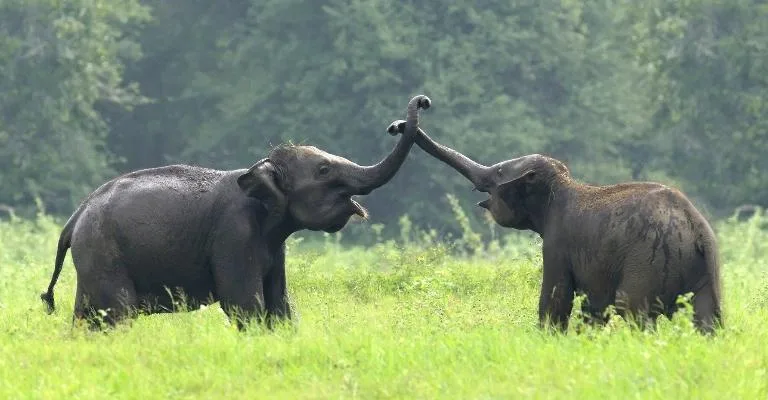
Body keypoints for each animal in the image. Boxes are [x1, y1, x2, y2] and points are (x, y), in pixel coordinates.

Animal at [39, 94, 431, 330]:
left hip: (93, 258)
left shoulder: (273, 244)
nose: (420, 104)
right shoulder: (233, 234)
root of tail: (74, 219)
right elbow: (245, 304)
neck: (257, 169)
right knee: (116, 313)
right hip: (104, 252)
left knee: (87, 316)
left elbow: (280, 304)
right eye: (323, 170)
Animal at [387, 120, 722, 334]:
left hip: (648, 262)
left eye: (498, 172)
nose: (397, 125)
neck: (563, 184)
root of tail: (696, 228)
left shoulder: (557, 243)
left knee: (632, 311)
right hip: (705, 270)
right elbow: (592, 307)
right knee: (708, 319)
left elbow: (556, 298)